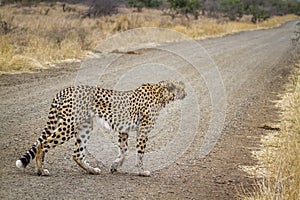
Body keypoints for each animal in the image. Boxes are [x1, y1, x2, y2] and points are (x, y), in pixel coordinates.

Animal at [16, 79, 186, 177]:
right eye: (181, 88)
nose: (186, 93)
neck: (161, 92)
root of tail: (67, 89)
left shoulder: (123, 130)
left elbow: (123, 150)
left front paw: (115, 166)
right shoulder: (142, 130)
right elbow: (139, 153)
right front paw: (141, 171)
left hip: (85, 126)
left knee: (77, 154)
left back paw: (91, 170)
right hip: (69, 125)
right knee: (42, 144)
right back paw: (41, 170)